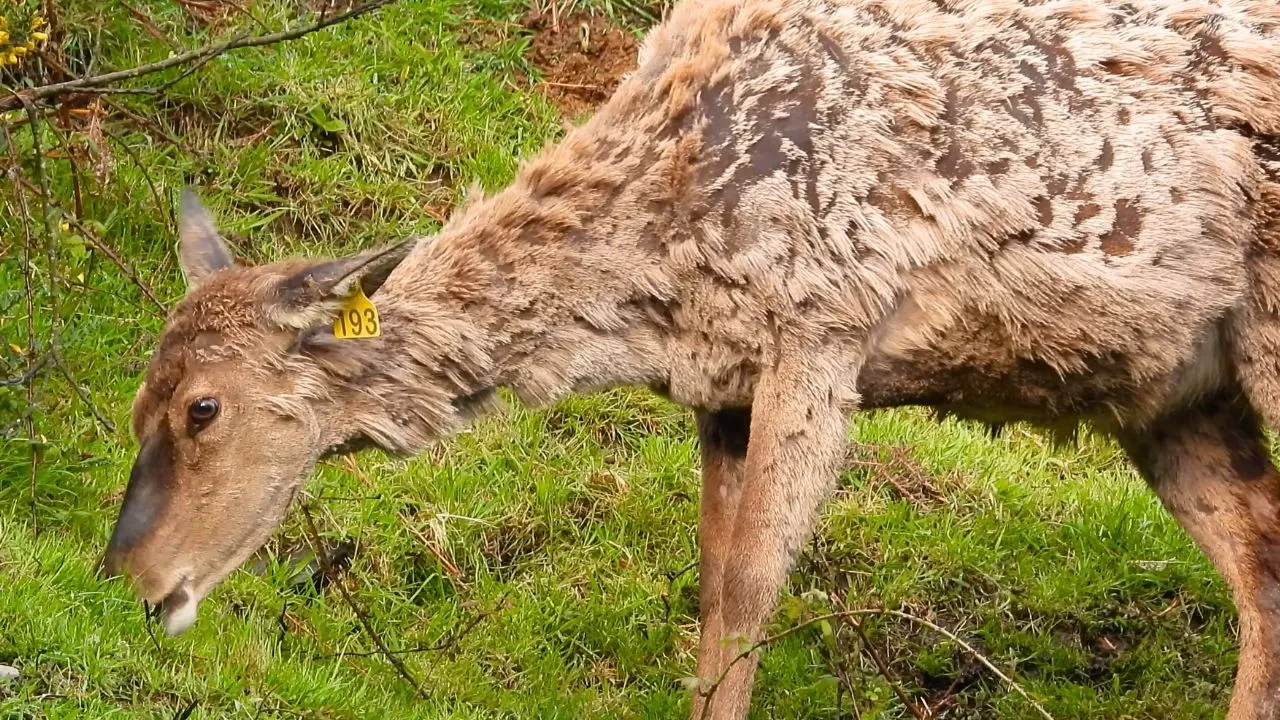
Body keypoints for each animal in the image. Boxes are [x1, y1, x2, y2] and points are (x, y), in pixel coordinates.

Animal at [101, 0, 1280, 716]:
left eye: (204, 408)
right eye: (136, 403)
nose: (128, 579)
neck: (656, 272)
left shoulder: (823, 329)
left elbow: (754, 590)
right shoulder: (722, 389)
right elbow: (712, 592)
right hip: (1167, 389)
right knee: (1259, 556)